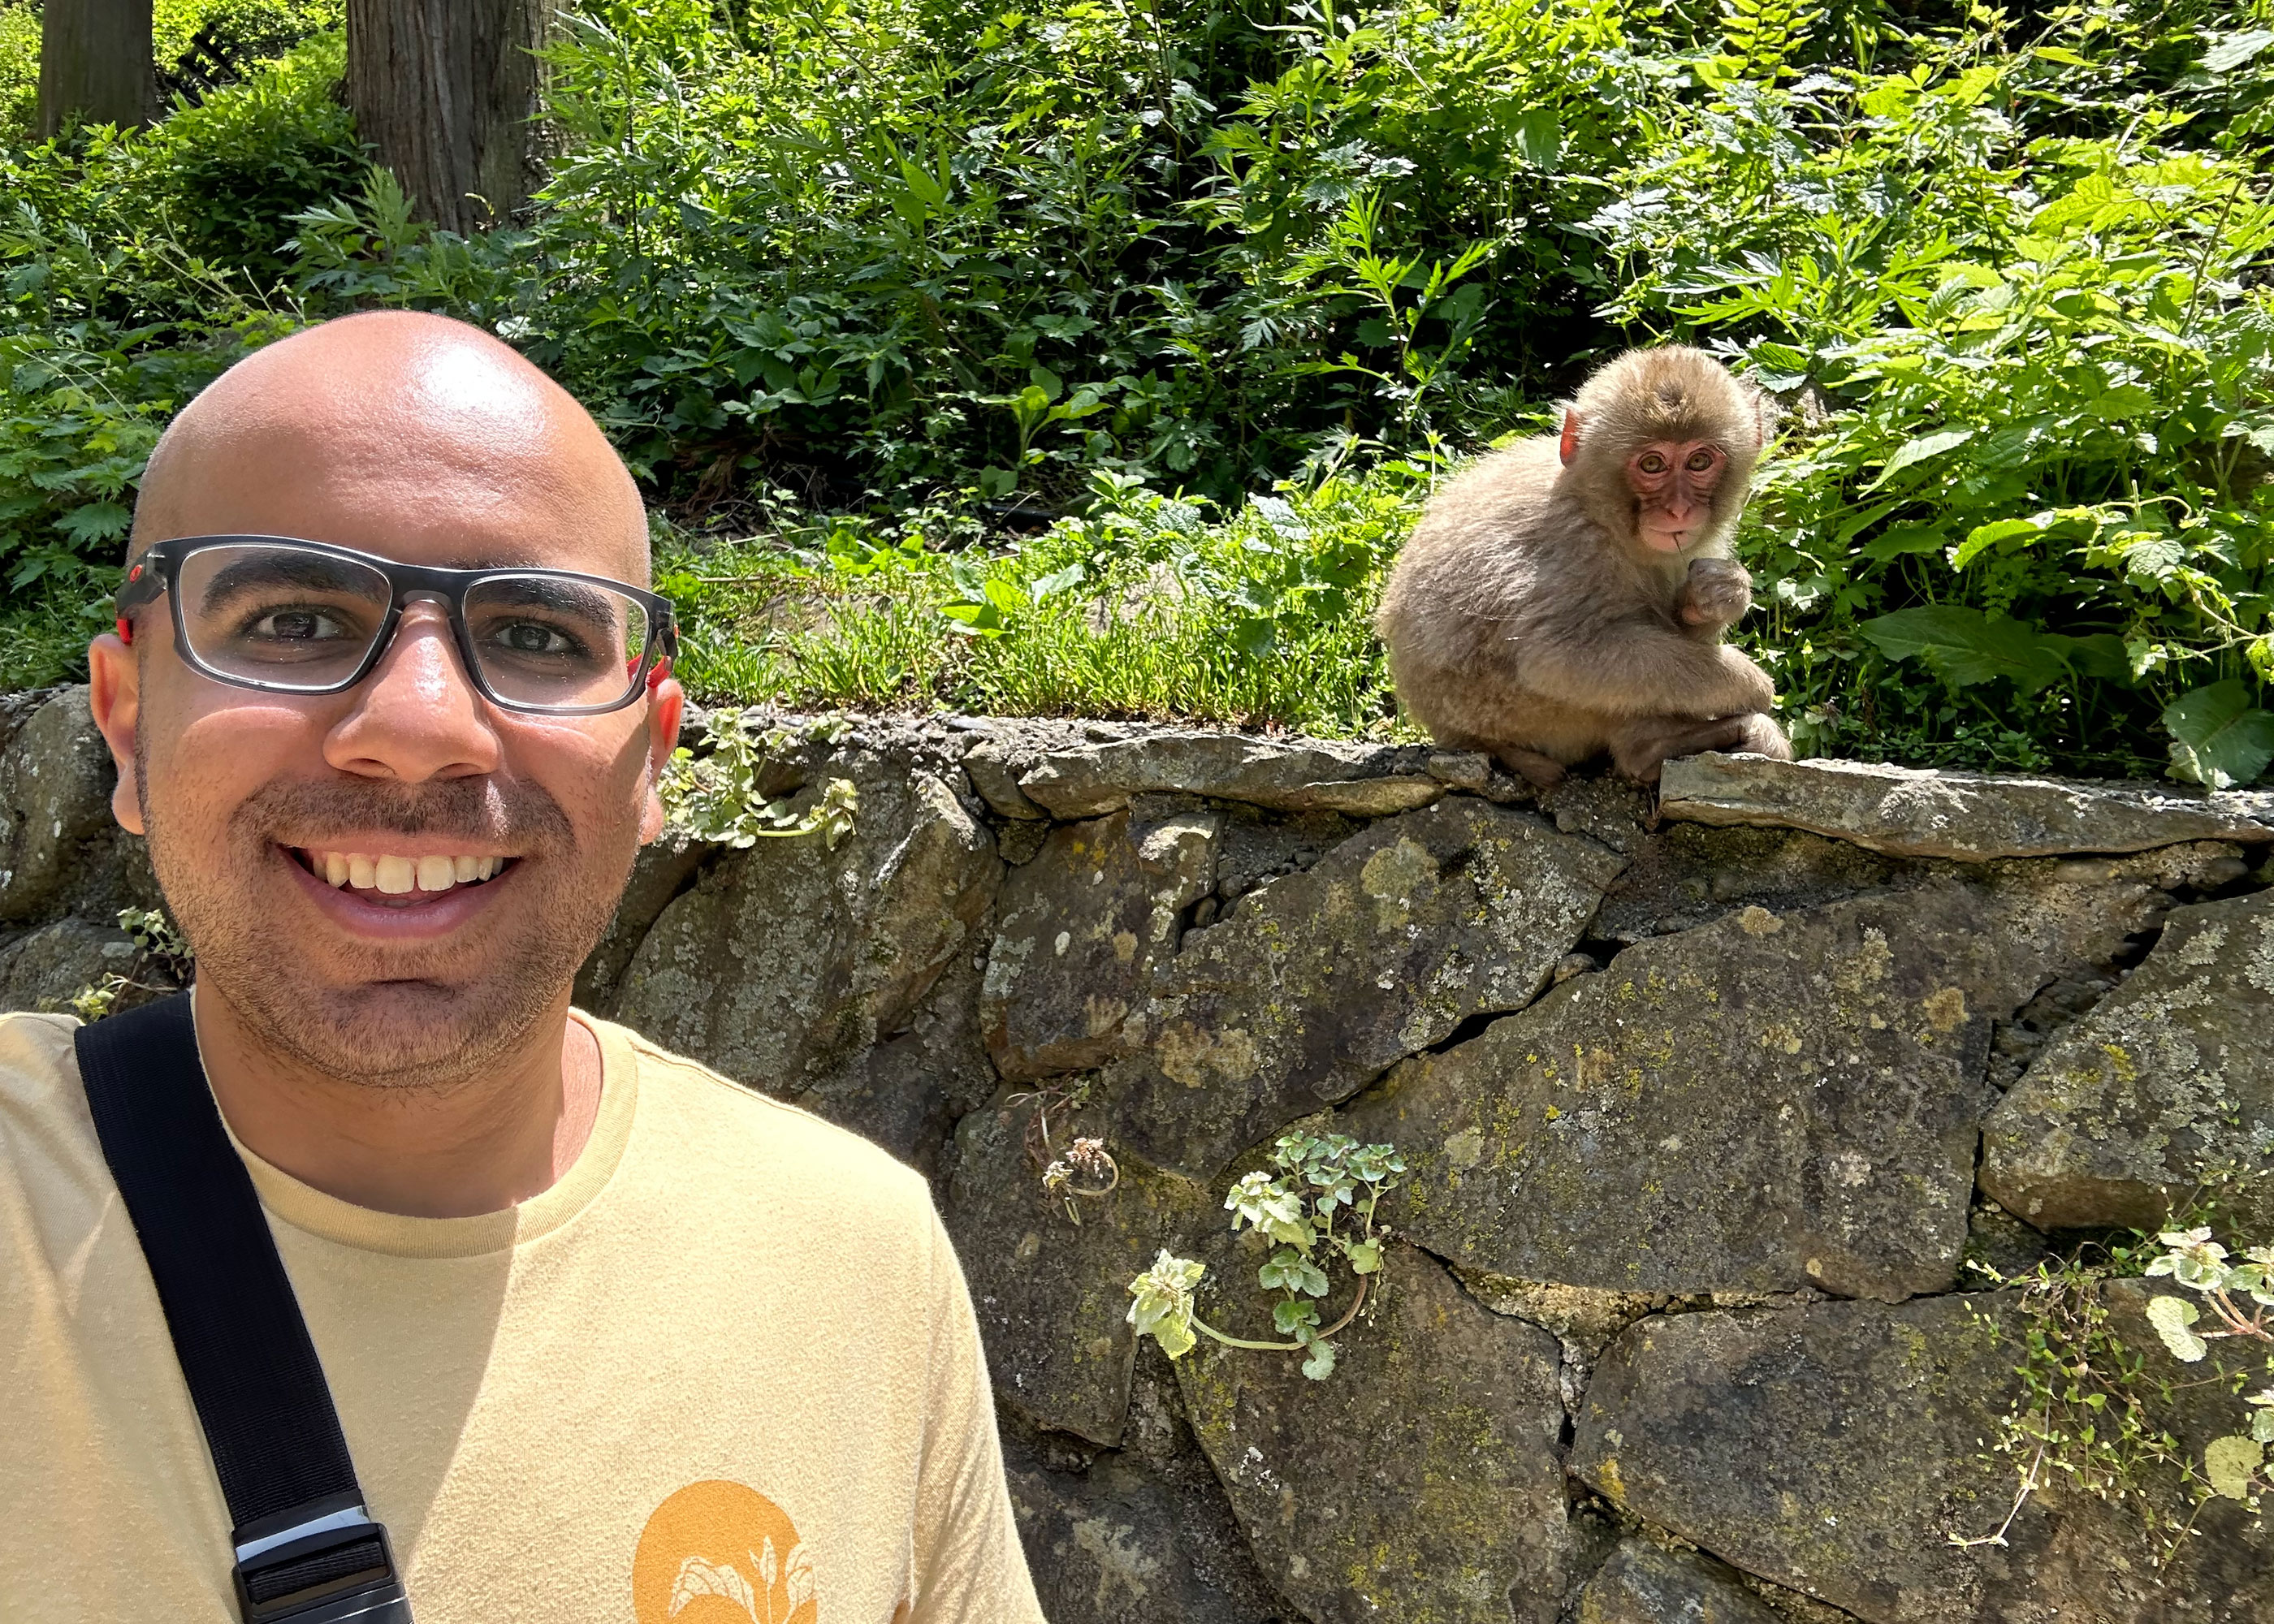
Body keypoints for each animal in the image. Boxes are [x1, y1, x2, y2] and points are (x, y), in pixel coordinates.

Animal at [1375, 345, 1793, 788]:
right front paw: (1749, 683)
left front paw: (1713, 597)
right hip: (1507, 712)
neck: (1600, 509)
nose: (1678, 510)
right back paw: (1650, 750)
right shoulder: (1577, 547)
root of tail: (1449, 734)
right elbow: (1556, 657)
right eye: (1652, 465)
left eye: (1698, 461)